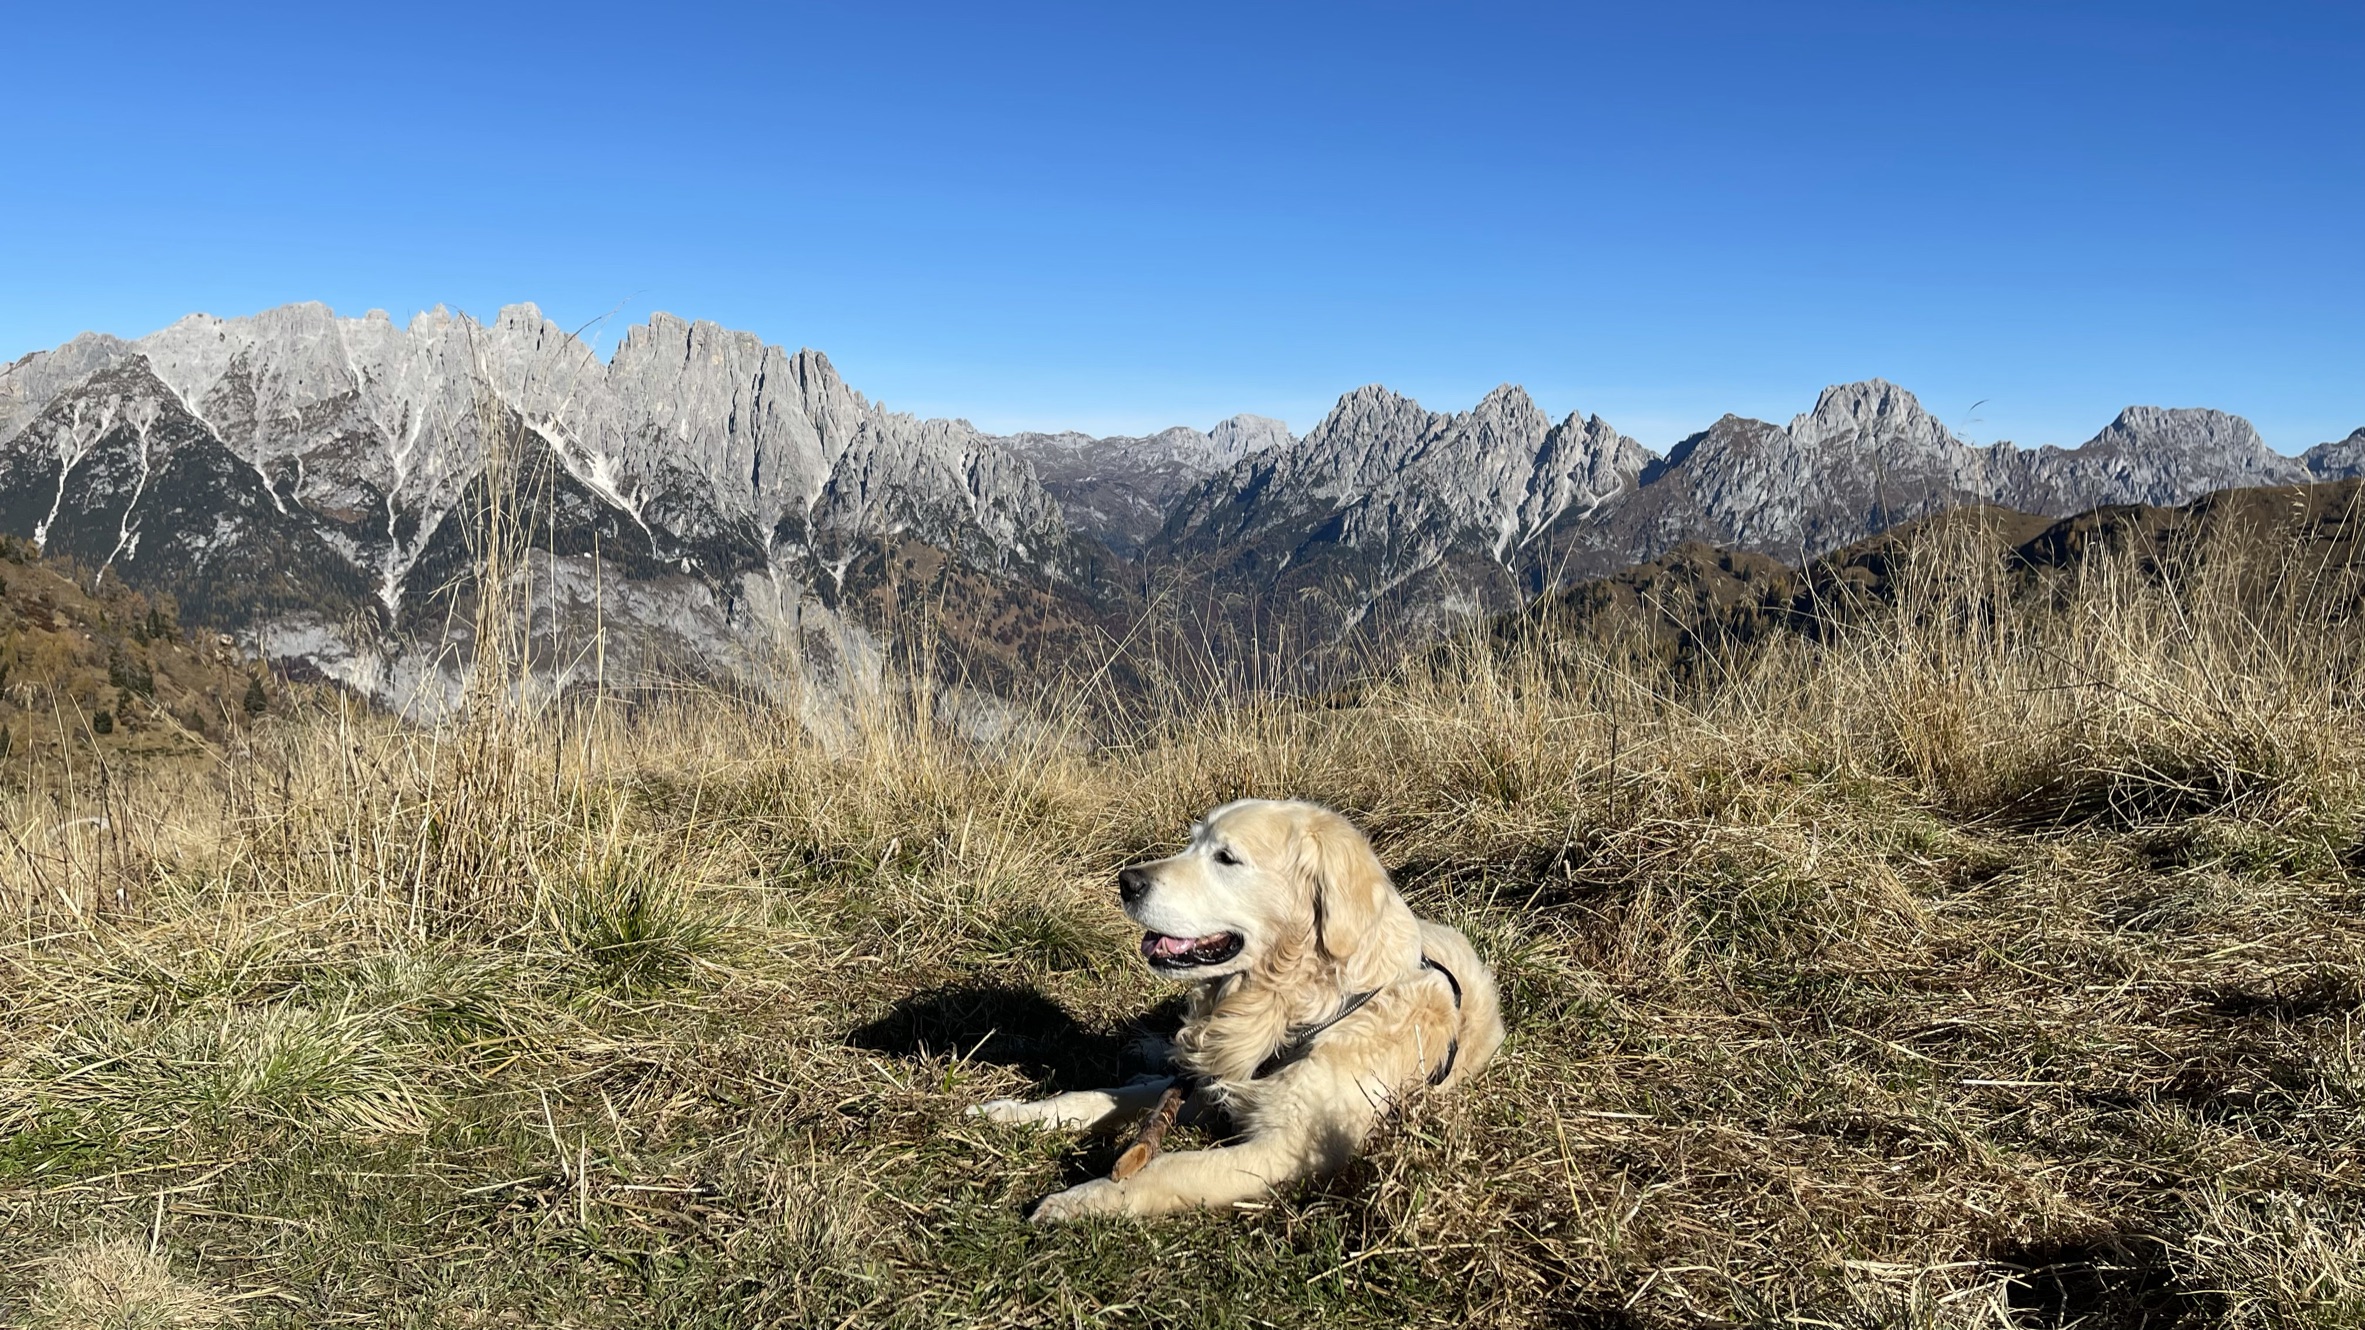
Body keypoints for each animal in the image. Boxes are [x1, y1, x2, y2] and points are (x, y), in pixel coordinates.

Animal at [969, 790, 1504, 1221]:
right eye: (1192, 844)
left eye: (1226, 857)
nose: (1127, 881)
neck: (1298, 1008)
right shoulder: (1214, 1082)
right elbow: (1102, 1096)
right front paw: (1015, 1113)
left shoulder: (1290, 1148)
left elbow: (1169, 1167)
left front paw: (1080, 1199)